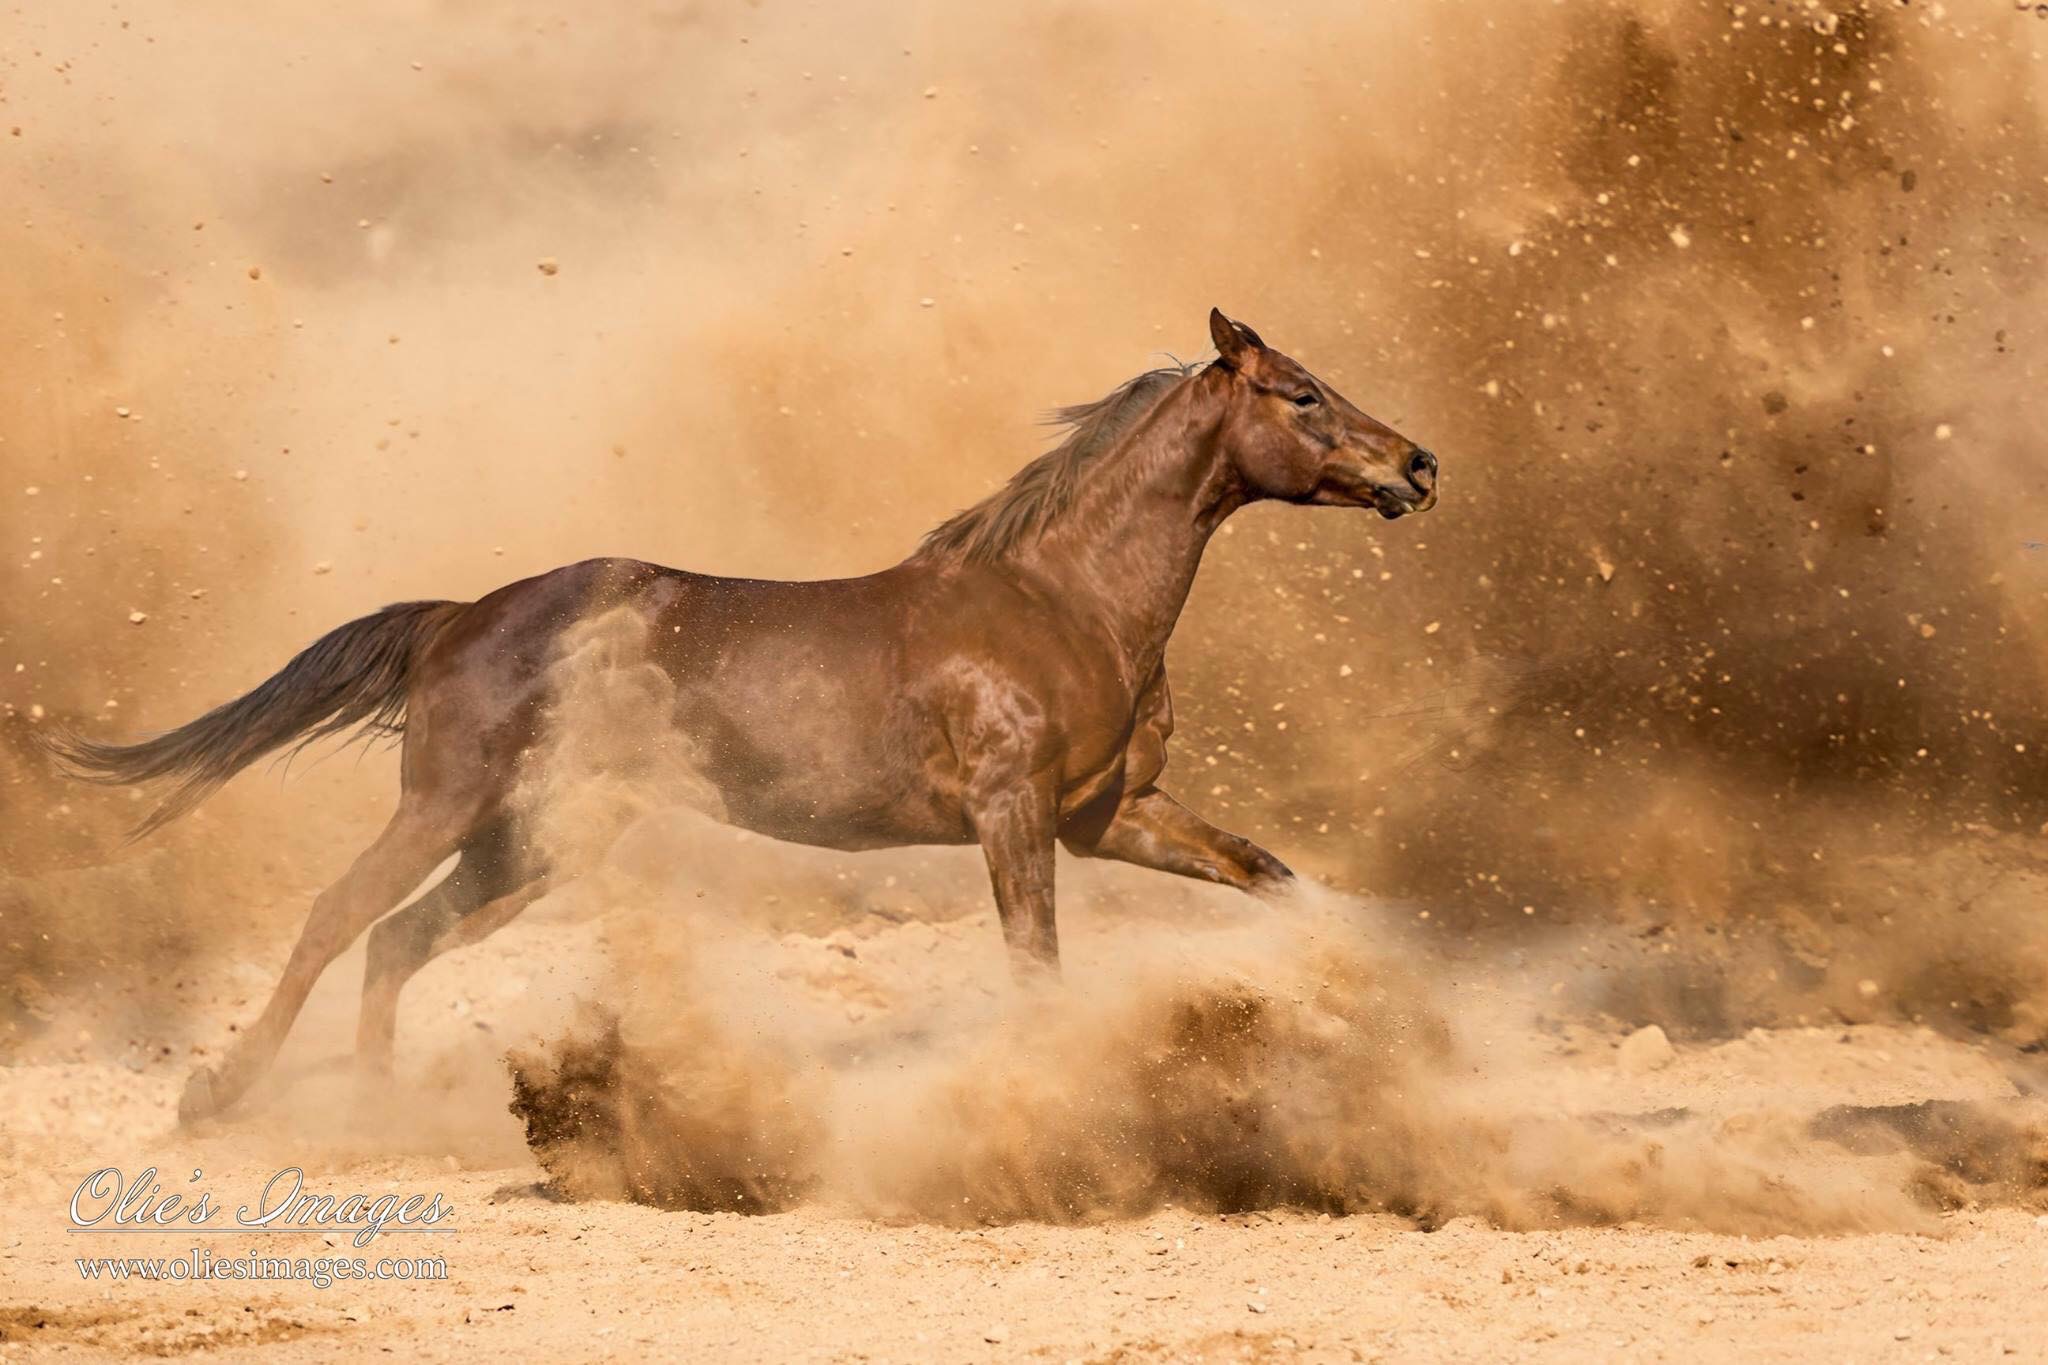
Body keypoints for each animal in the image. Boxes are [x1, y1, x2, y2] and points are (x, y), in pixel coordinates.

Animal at [39, 313, 1433, 1121]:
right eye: (1300, 393)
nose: (1415, 465)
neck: (1062, 598)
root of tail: (455, 618)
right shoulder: (1013, 812)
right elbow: (1035, 964)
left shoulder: (1109, 814)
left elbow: (1272, 877)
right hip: (449, 803)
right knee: (339, 918)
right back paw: (222, 1094)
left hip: (522, 842)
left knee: (395, 941)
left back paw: (380, 1118)